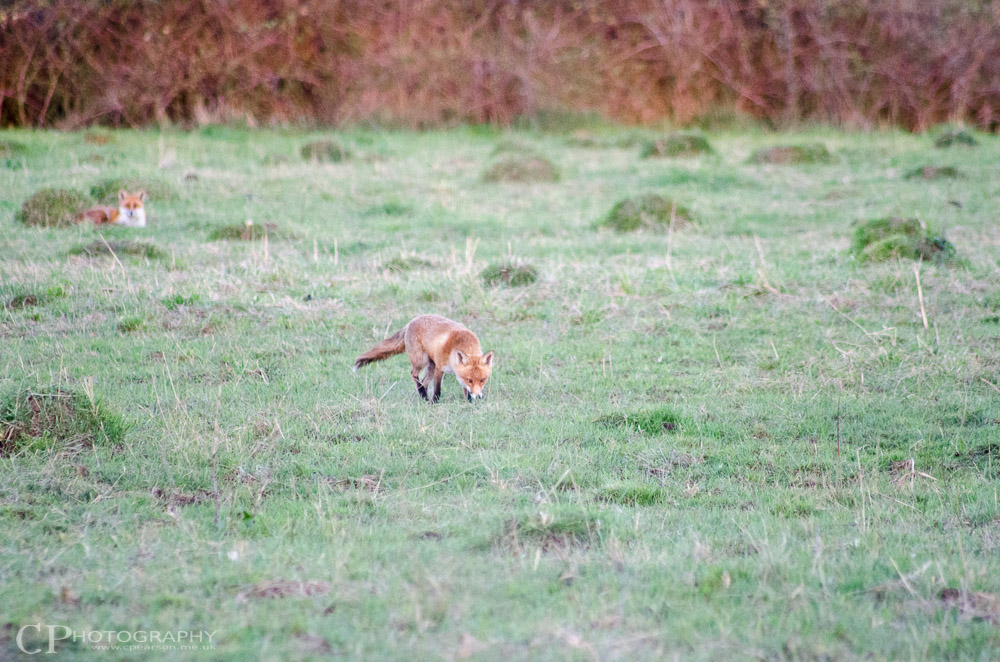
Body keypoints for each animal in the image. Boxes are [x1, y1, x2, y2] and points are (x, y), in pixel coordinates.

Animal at [356, 316, 496, 404]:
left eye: (483, 380)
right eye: (470, 380)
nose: (478, 397)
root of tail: (410, 322)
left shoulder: (456, 373)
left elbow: (465, 390)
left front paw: (469, 402)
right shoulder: (440, 368)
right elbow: (438, 390)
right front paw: (434, 402)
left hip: (430, 366)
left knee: (423, 381)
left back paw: (423, 395)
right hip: (421, 361)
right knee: (414, 374)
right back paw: (423, 395)